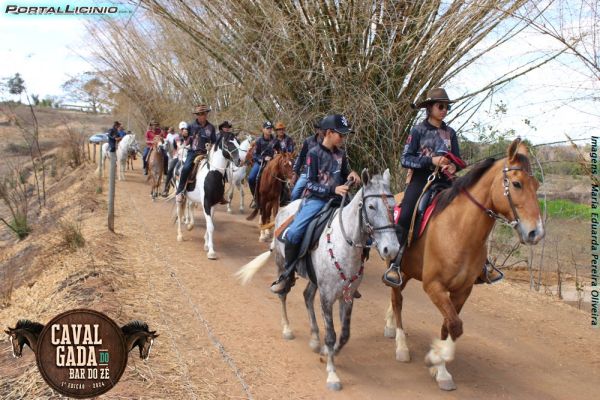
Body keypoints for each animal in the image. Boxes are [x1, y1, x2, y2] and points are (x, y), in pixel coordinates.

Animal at [175, 130, 240, 258]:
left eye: (238, 142)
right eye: (228, 143)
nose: (239, 160)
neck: (213, 173)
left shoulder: (214, 204)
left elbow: (209, 224)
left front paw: (206, 244)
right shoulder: (206, 202)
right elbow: (210, 226)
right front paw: (211, 252)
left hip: (191, 197)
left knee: (190, 207)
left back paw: (190, 225)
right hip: (179, 195)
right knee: (179, 212)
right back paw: (179, 235)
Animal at [237, 169, 400, 390]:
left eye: (392, 206)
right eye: (371, 206)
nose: (391, 249)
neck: (344, 244)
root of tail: (286, 208)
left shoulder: (346, 297)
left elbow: (345, 334)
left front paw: (328, 352)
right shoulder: (327, 297)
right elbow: (331, 334)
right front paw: (332, 374)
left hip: (315, 280)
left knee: (306, 296)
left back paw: (314, 338)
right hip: (281, 264)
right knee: (283, 294)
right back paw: (287, 328)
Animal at [382, 138, 548, 390]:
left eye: (537, 186)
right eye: (517, 184)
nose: (535, 233)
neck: (458, 230)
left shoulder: (462, 290)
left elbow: (449, 326)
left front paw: (439, 368)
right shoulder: (434, 286)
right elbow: (455, 325)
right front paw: (436, 360)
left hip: (409, 271)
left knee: (397, 297)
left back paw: (390, 326)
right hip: (396, 267)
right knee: (397, 300)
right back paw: (401, 346)